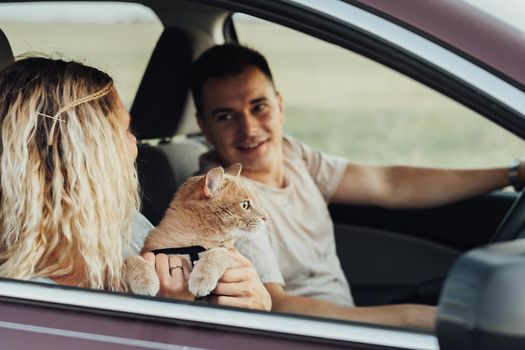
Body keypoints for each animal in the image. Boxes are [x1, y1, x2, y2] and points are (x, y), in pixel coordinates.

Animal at [124, 164, 266, 298]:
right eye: (245, 205)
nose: (266, 217)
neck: (189, 244)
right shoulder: (149, 253)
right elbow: (130, 260)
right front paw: (144, 281)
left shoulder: (235, 261)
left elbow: (217, 254)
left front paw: (202, 278)